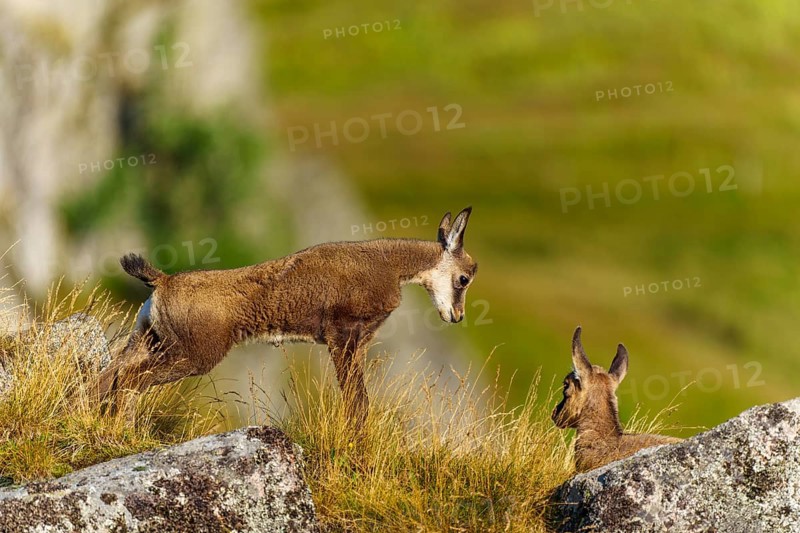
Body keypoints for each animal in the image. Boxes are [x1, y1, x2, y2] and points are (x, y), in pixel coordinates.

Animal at [96, 207, 478, 428]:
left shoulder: (358, 343)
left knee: (107, 376)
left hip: (147, 339)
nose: (457, 316)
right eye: (464, 278)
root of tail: (162, 282)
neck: (387, 266)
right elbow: (356, 401)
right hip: (191, 354)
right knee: (128, 378)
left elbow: (359, 399)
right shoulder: (342, 335)